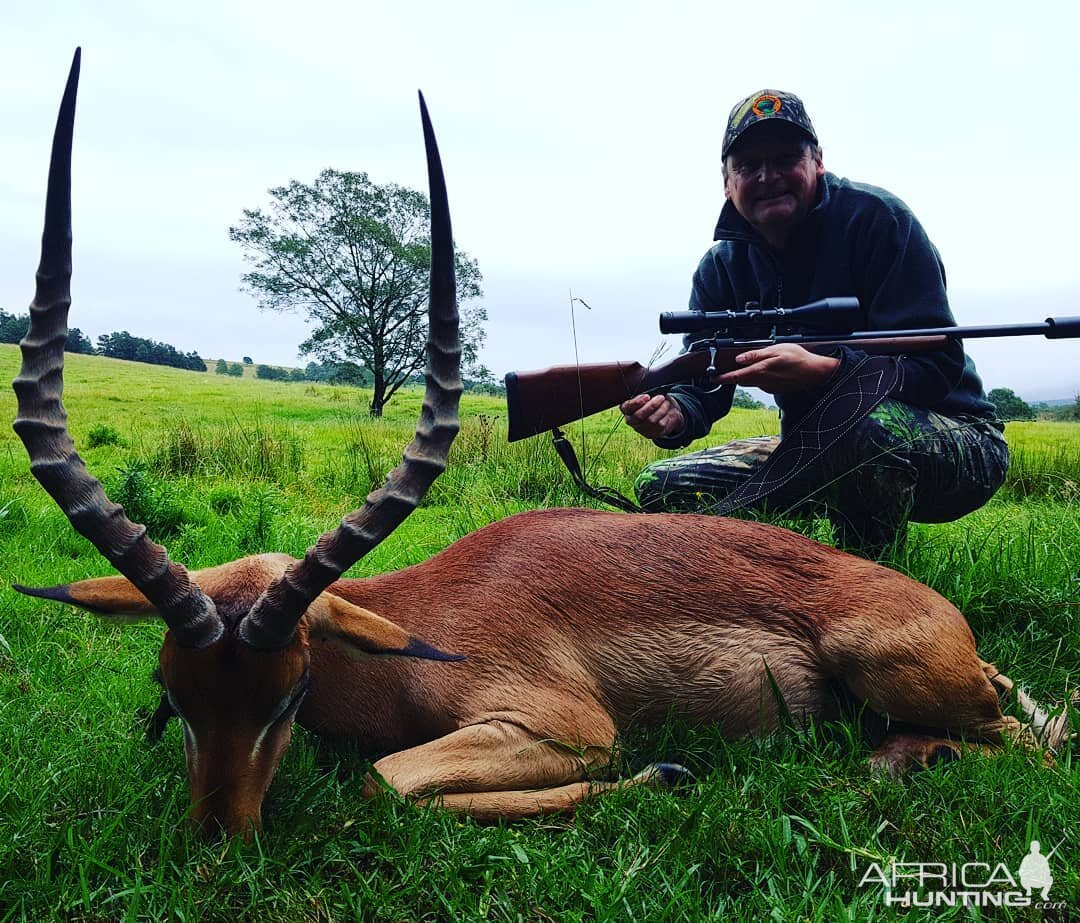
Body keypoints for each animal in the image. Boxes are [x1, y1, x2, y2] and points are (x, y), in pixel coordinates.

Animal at [12, 54, 1075, 842]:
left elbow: (386, 783)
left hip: (897, 664)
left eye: (291, 690)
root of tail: (951, 623)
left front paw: (669, 768)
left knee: (1034, 746)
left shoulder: (566, 728)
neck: (416, 621)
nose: (221, 836)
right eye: (174, 690)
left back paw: (894, 761)